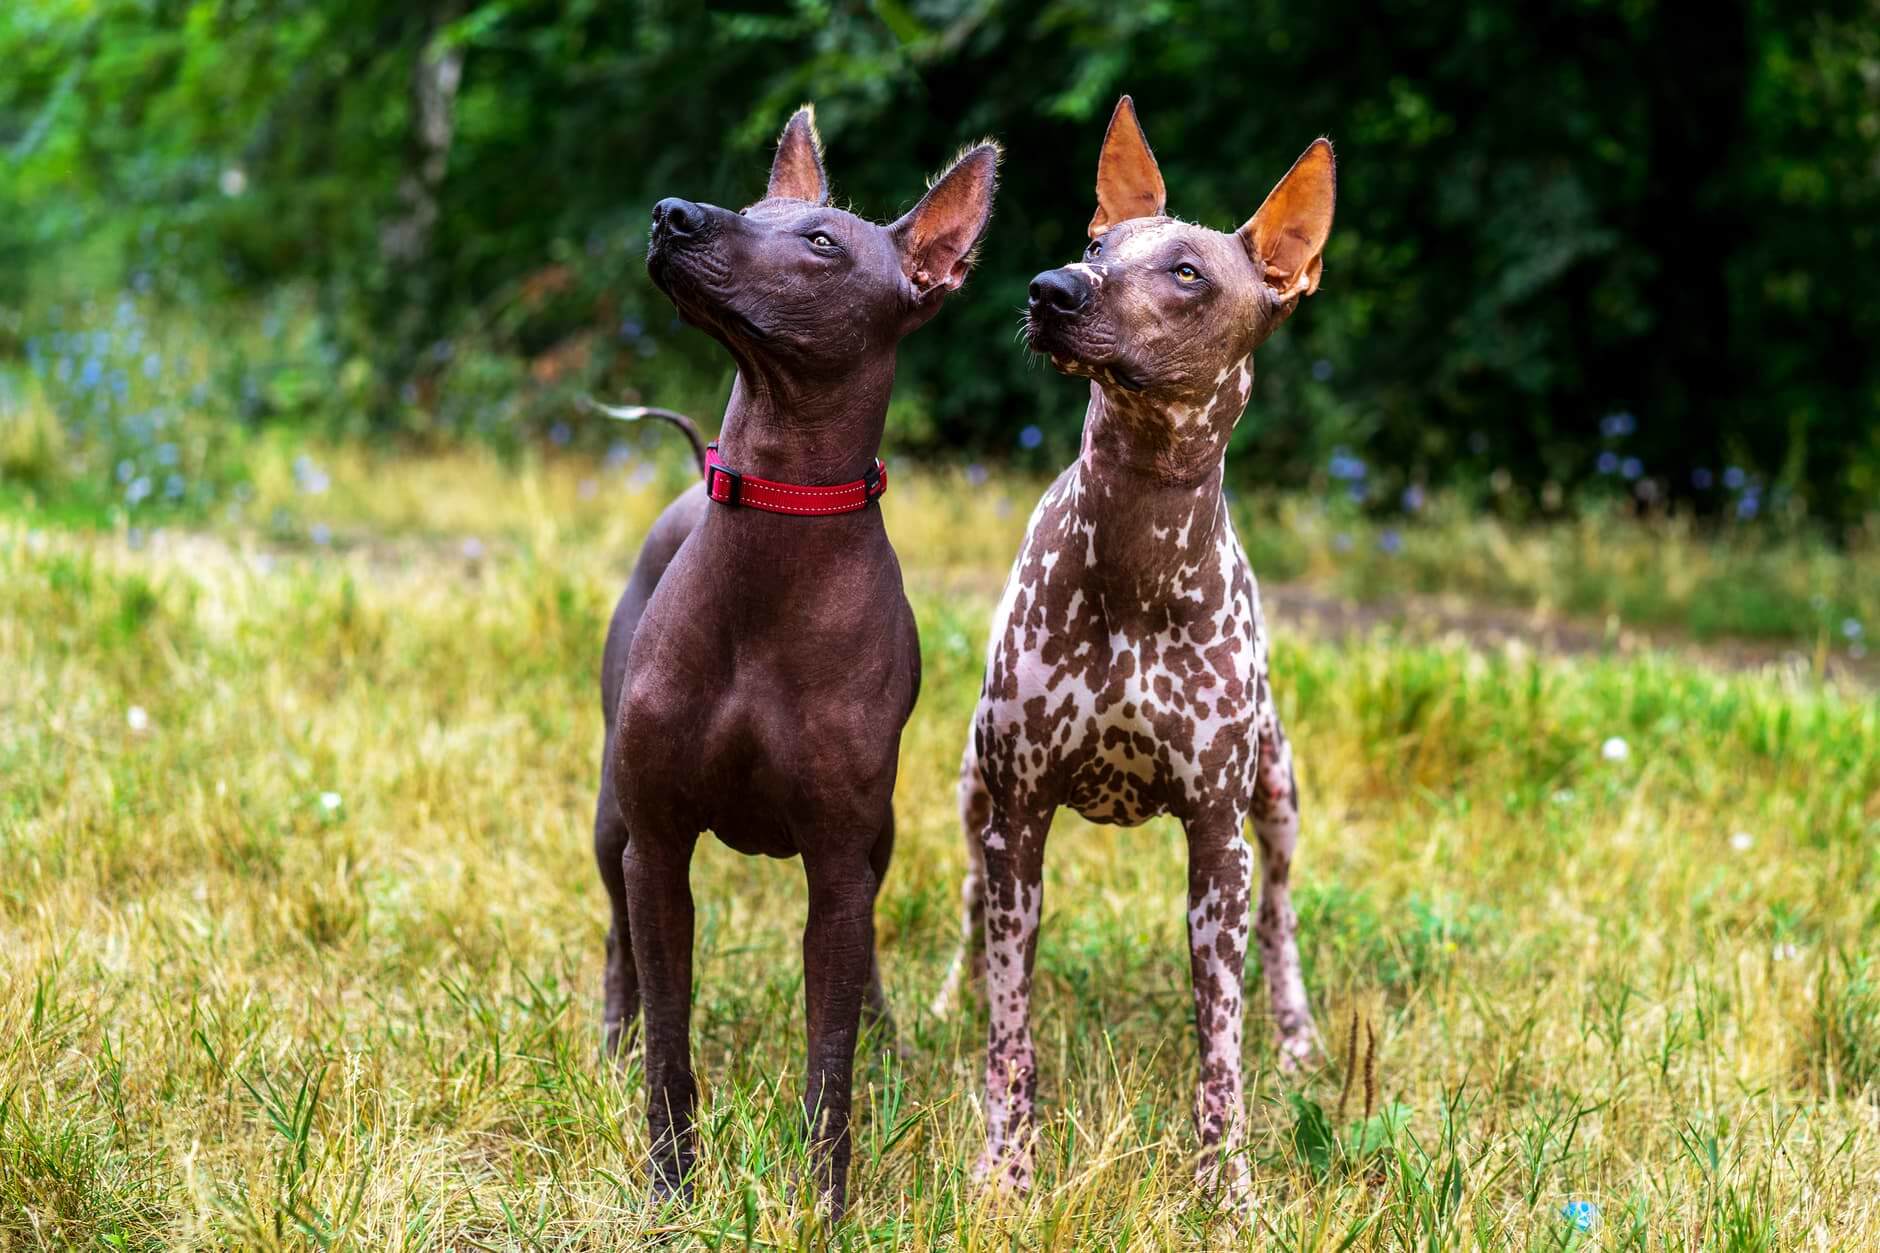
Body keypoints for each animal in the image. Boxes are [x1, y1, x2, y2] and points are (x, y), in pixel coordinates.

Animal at [601, 107, 1000, 1211]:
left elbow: (829, 1055)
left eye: (821, 242)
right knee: (615, 939)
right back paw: (605, 1038)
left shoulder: (837, 860)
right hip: (611, 821)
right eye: (753, 205)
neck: (776, 520)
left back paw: (889, 1036)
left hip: (879, 841)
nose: (675, 212)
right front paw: (670, 1188)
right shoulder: (658, 846)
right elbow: (670, 1038)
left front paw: (823, 1201)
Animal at [932, 95, 1331, 1204]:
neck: (1137, 544)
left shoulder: (1216, 844)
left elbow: (1218, 1042)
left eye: (1187, 272)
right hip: (972, 790)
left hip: (1277, 796)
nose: (1051, 288)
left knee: (1280, 920)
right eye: (1096, 245)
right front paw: (1006, 1167)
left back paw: (1297, 1038)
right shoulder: (1018, 819)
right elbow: (1012, 1033)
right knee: (971, 909)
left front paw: (1226, 1185)